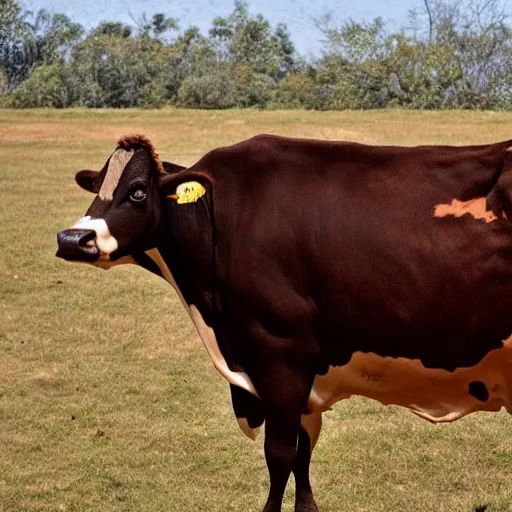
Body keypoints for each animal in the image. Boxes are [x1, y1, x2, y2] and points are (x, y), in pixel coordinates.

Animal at [57, 133, 512, 512]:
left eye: (136, 191)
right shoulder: (301, 374)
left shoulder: (280, 352)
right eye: (98, 187)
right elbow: (302, 452)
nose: (72, 239)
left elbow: (279, 456)